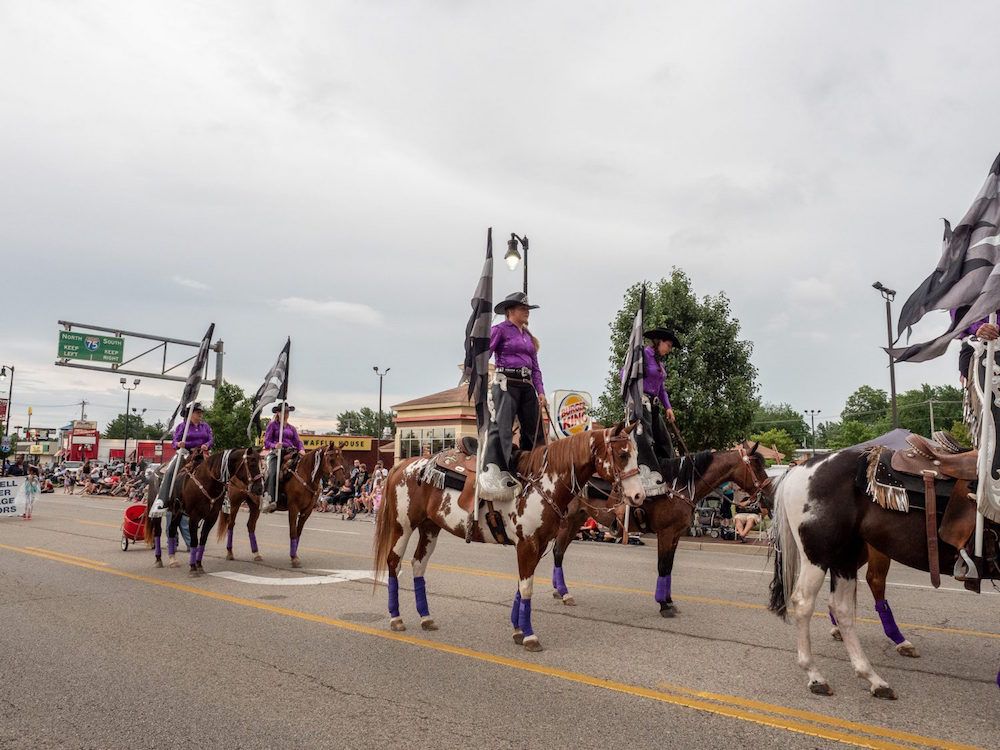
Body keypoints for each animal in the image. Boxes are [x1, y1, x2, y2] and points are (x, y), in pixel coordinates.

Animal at [372, 426, 644, 656]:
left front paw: (518, 630)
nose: (638, 496)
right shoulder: (527, 544)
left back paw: (426, 617)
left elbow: (521, 586)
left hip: (430, 528)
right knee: (394, 562)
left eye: (636, 454)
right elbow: (526, 588)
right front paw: (530, 636)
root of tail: (403, 465)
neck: (541, 484)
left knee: (418, 565)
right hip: (403, 526)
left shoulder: (537, 545)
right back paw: (396, 618)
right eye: (622, 455)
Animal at [548, 444, 772, 612]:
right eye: (757, 466)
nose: (769, 493)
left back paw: (559, 590)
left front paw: (669, 601)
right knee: (557, 551)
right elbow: (662, 566)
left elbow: (669, 566)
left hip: (576, 519)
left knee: (560, 551)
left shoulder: (675, 535)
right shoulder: (666, 532)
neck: (678, 487)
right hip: (567, 520)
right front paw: (664, 605)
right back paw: (565, 593)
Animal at [768, 446, 996, 700]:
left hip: (845, 556)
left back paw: (873, 678)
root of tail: (799, 469)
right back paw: (815, 675)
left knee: (842, 607)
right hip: (818, 556)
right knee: (804, 603)